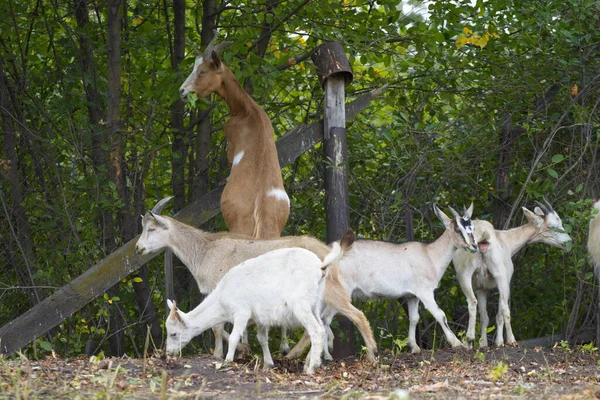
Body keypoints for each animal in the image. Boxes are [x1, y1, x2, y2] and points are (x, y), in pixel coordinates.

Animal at [135, 199, 376, 360]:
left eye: (151, 229)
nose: (138, 248)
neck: (204, 250)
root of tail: (327, 253)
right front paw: (243, 350)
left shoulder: (218, 289)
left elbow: (217, 326)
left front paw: (221, 354)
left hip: (328, 292)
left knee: (356, 315)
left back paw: (370, 354)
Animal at [164, 234, 352, 376]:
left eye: (173, 333)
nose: (168, 353)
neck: (222, 298)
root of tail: (321, 266)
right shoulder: (261, 317)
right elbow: (262, 339)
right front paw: (268, 364)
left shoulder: (241, 312)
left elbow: (234, 337)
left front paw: (228, 361)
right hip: (315, 303)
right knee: (321, 328)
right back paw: (312, 363)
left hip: (301, 304)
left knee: (316, 330)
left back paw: (311, 368)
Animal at [308, 203, 476, 354]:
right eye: (457, 229)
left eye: (472, 227)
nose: (474, 246)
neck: (430, 255)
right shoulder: (425, 292)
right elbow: (440, 314)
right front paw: (457, 343)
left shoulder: (412, 296)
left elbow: (414, 318)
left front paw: (414, 347)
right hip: (342, 290)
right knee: (326, 318)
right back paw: (328, 354)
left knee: (320, 317)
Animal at [454, 200, 572, 346]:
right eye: (551, 226)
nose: (568, 242)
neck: (506, 239)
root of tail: (483, 240)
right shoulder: (506, 279)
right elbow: (499, 314)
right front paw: (499, 342)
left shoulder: (482, 288)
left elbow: (484, 317)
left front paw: (483, 344)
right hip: (501, 277)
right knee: (505, 309)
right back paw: (511, 340)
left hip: (464, 275)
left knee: (471, 302)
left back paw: (468, 341)